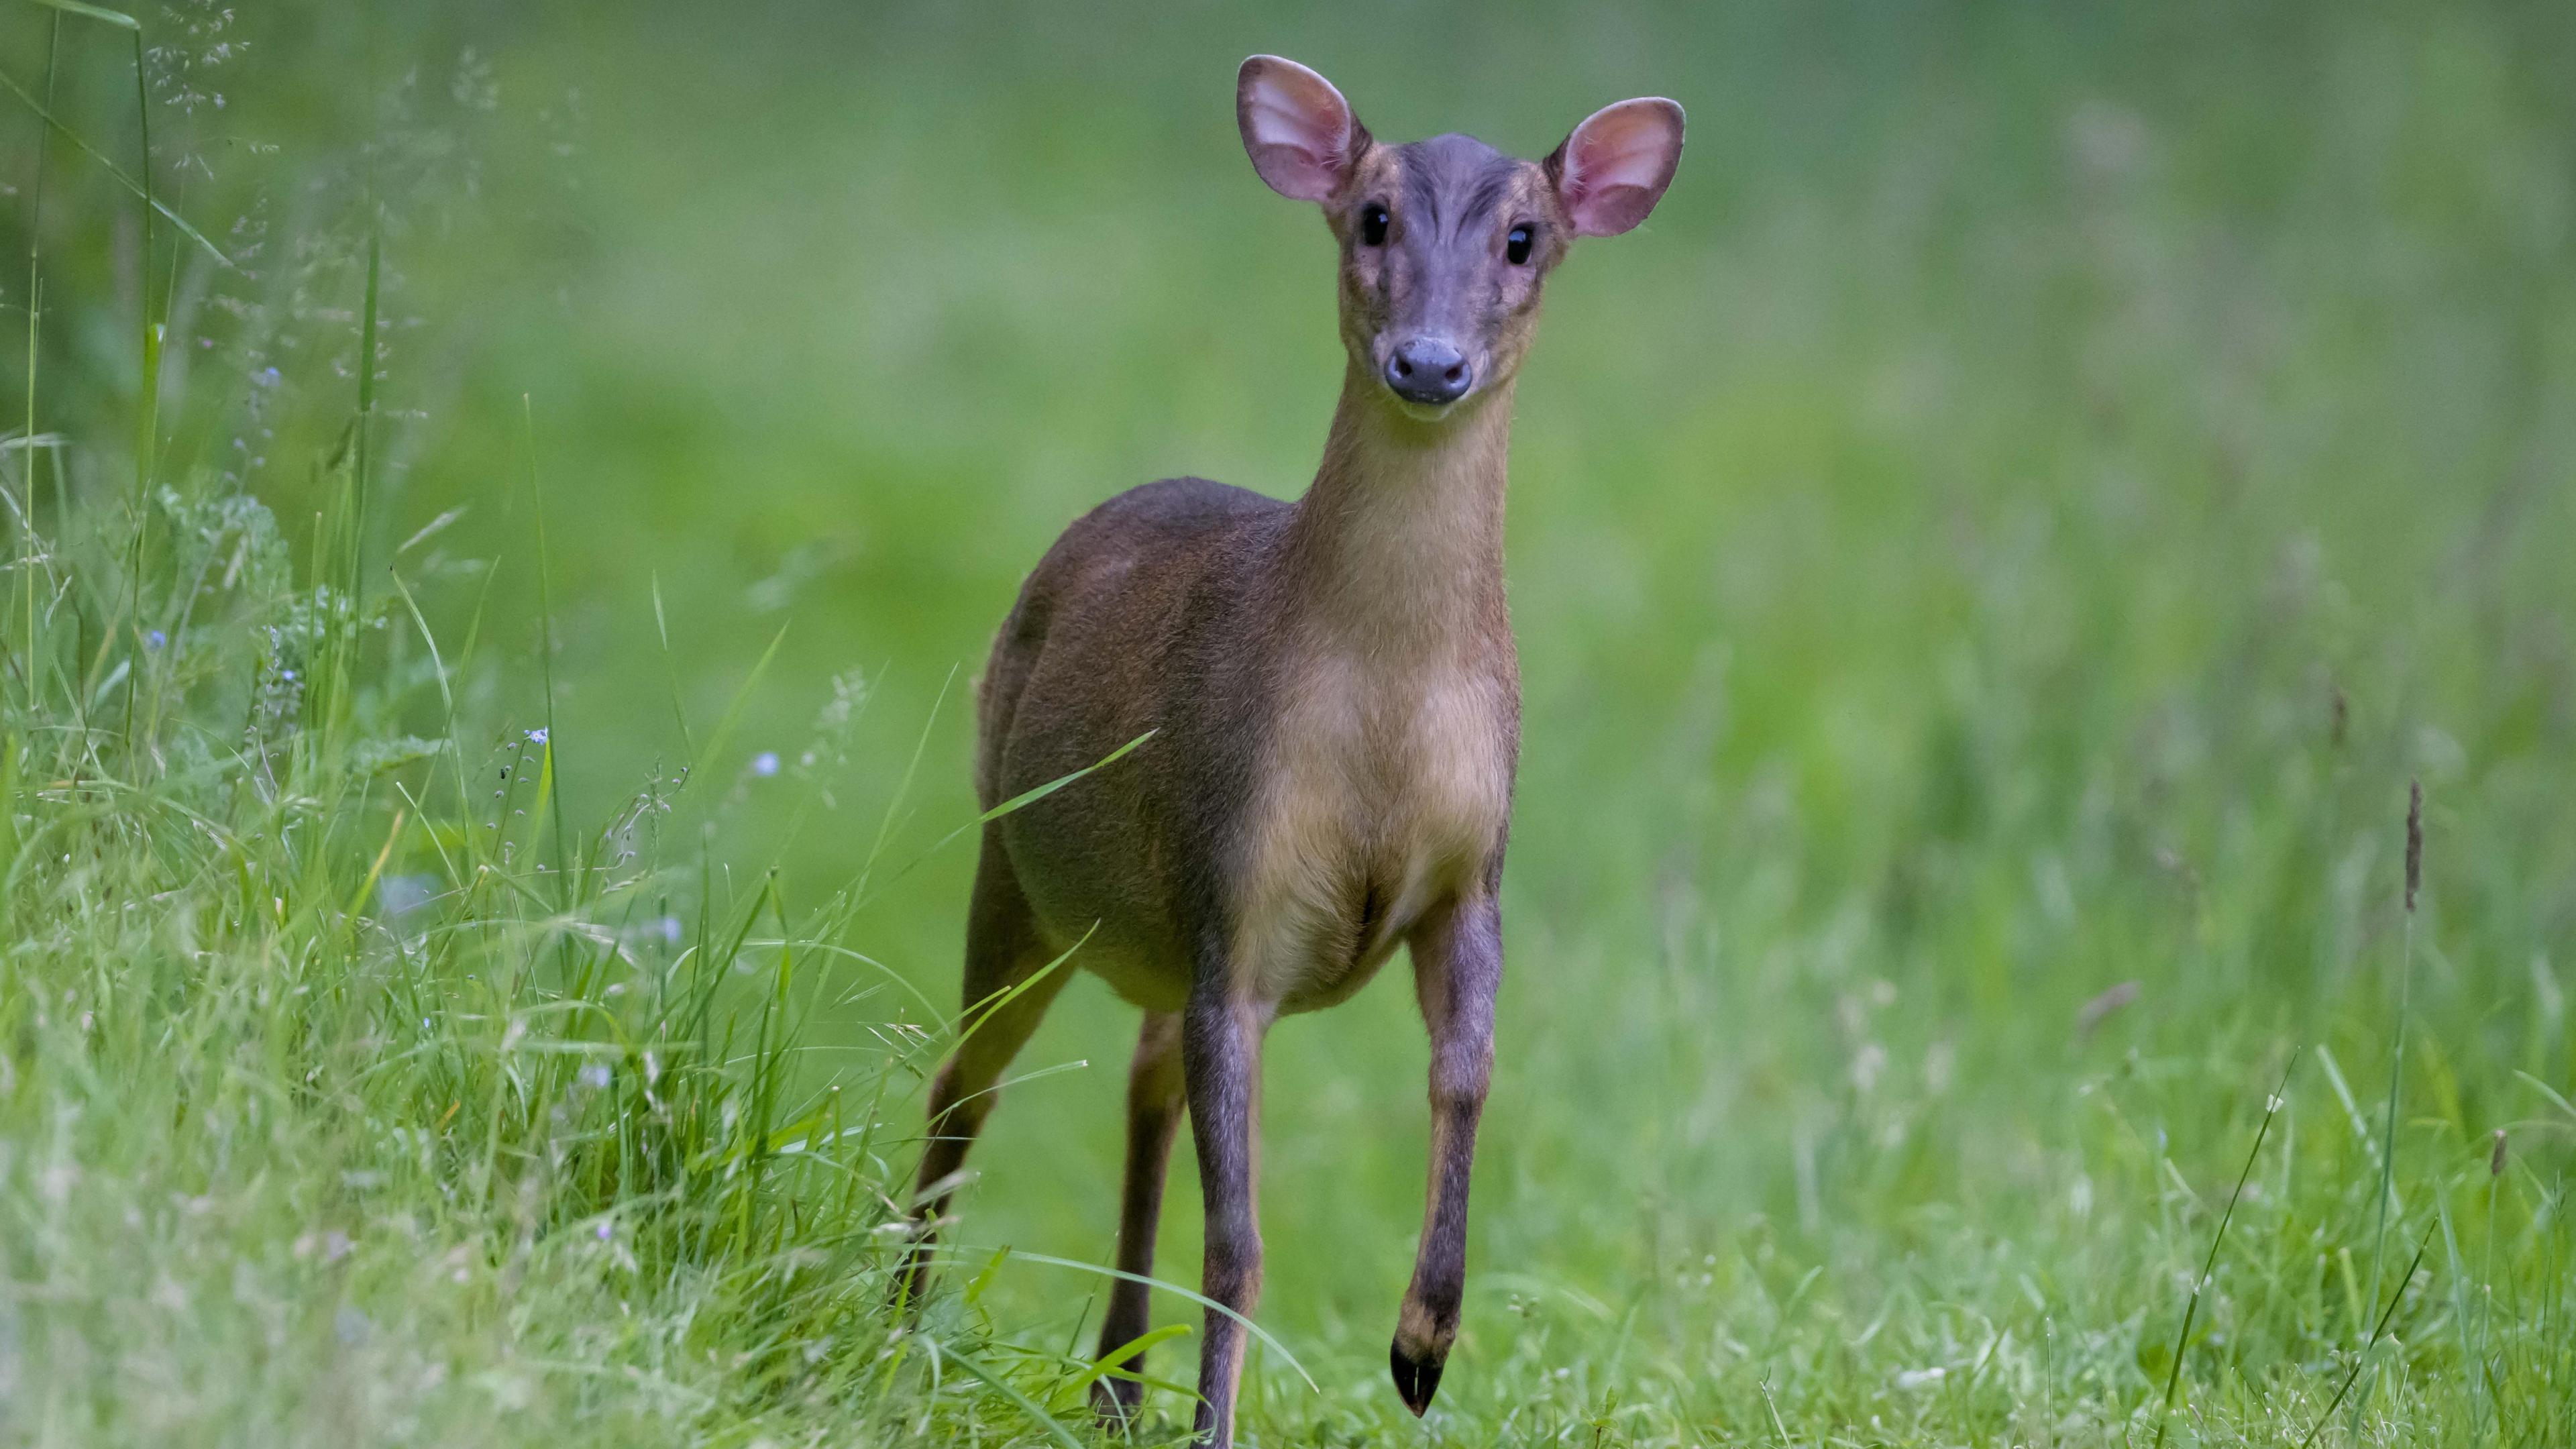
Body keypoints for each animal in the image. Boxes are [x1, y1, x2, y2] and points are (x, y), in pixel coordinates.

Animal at [906, 53, 1690, 1433]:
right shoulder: (1236, 879)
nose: (1428, 362)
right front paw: (1219, 1424)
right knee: (966, 1081)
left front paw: (1423, 1345)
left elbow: (1467, 1079)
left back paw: (1117, 1382)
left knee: (1140, 1080)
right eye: (1372, 219)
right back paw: (899, 1327)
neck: (1384, 722)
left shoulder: (1473, 874)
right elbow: (1240, 1243)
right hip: (1017, 863)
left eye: (1524, 238)